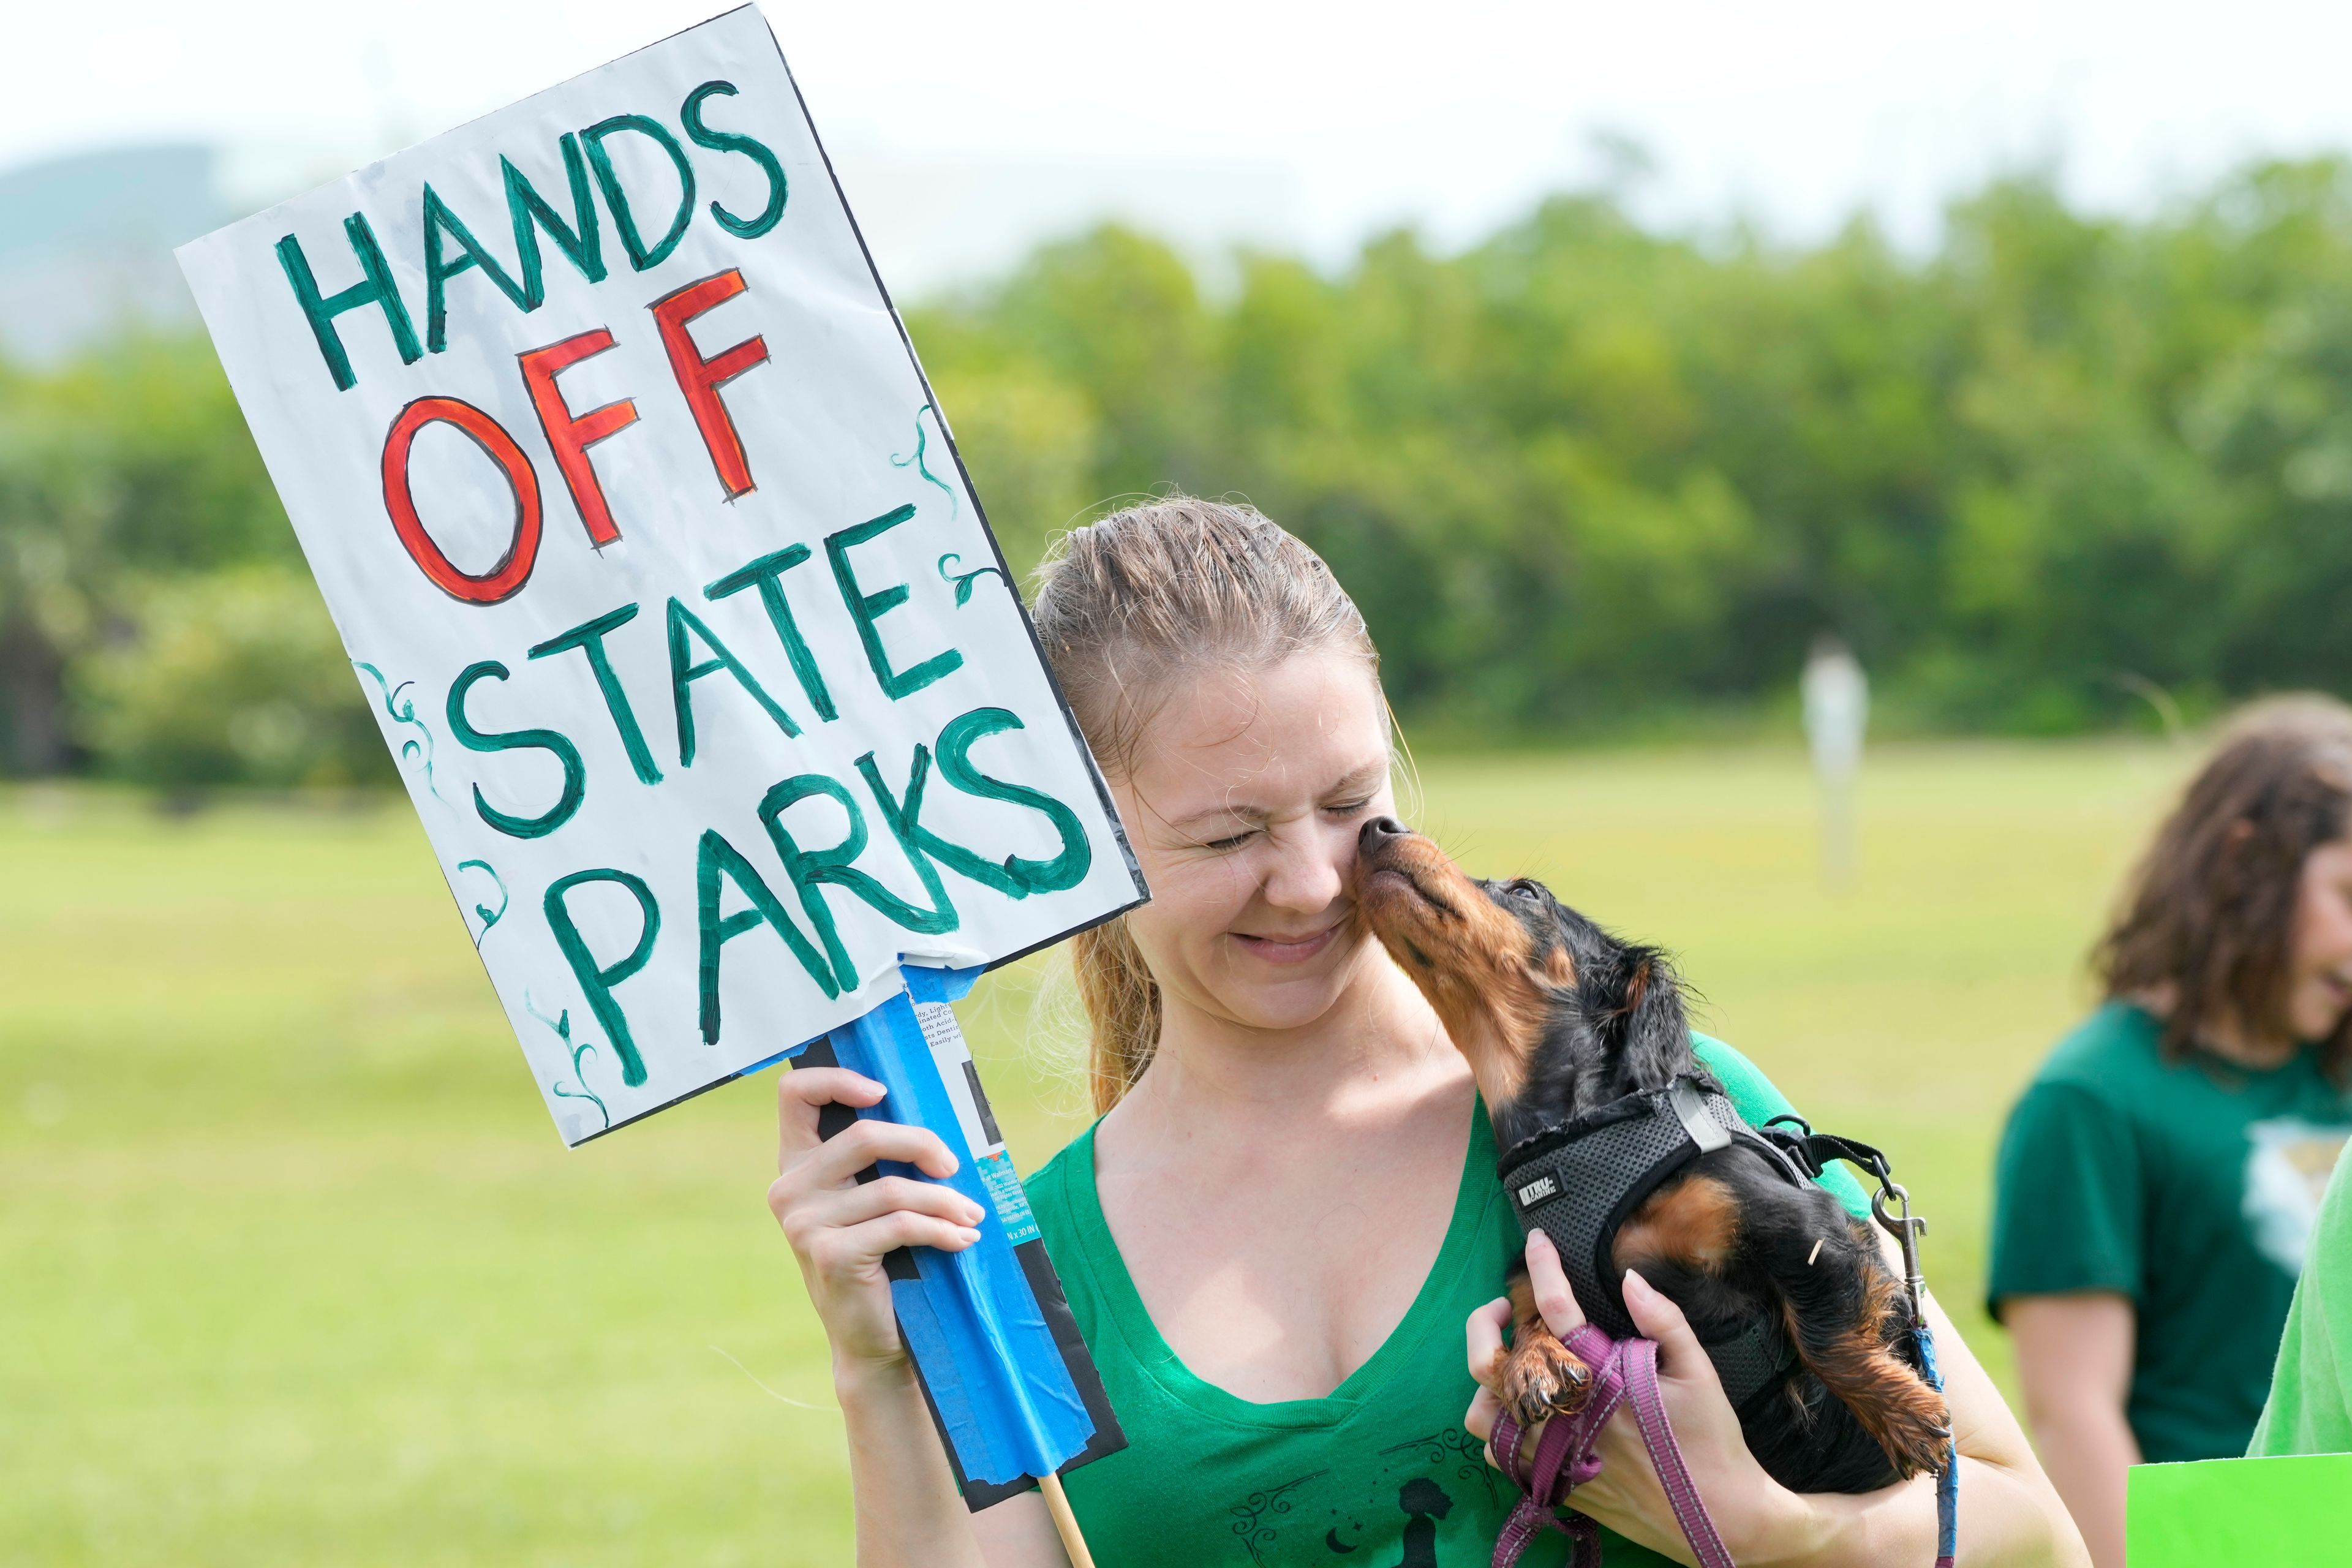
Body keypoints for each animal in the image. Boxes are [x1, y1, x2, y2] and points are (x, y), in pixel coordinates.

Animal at [1364, 818, 1947, 1495]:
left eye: (1528, 891)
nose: (1377, 827)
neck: (1573, 1143)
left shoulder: (1805, 1224)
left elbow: (1827, 1339)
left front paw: (1904, 1416)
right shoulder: (1535, 1272)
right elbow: (1534, 1318)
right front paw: (1535, 1363)